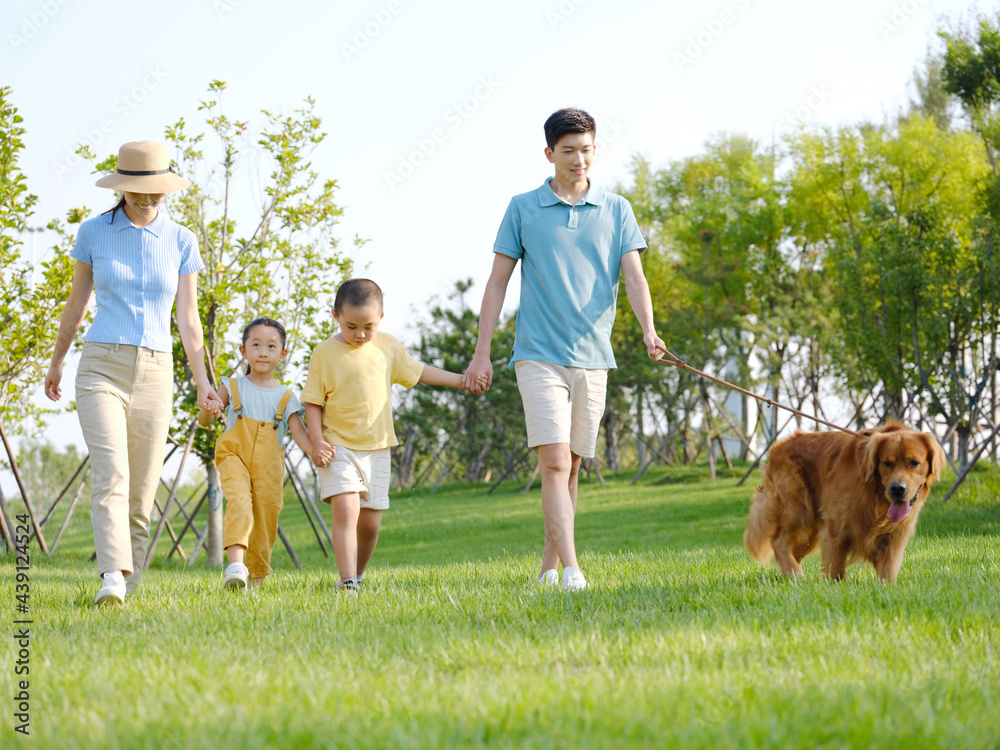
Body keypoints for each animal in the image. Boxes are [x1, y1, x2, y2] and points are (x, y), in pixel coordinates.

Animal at [748, 424, 948, 580]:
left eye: (914, 462)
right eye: (887, 463)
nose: (897, 489)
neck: (874, 495)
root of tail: (779, 446)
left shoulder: (895, 536)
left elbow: (888, 573)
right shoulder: (835, 528)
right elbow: (835, 569)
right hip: (799, 509)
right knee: (779, 541)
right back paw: (796, 575)